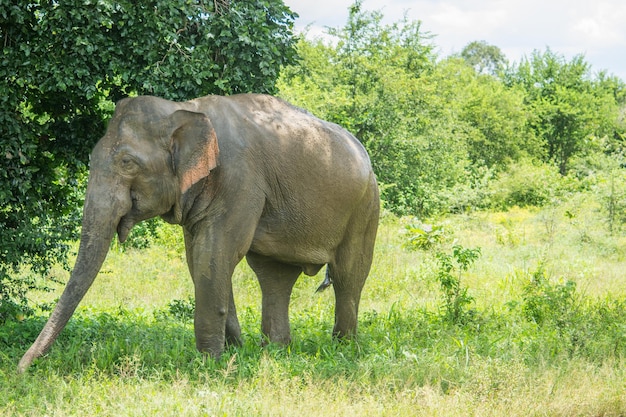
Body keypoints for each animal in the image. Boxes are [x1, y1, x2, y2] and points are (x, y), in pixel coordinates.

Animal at [18, 93, 380, 370]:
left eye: (127, 163)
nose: (22, 369)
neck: (184, 109)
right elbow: (200, 259)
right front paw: (234, 351)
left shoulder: (240, 180)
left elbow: (216, 252)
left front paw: (210, 365)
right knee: (274, 278)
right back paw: (276, 352)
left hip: (365, 207)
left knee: (348, 276)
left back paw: (343, 349)